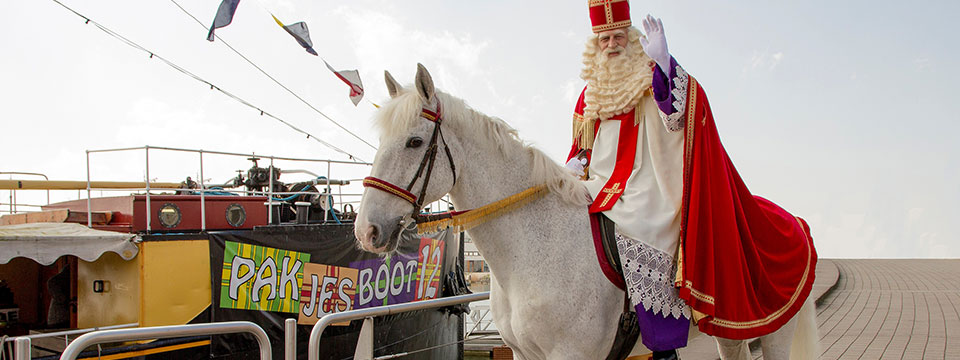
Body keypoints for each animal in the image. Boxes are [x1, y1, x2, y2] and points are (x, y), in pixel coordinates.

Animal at [352, 64, 816, 360]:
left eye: (414, 141)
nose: (365, 230)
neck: (531, 251)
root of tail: (794, 220)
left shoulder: (572, 354)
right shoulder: (524, 355)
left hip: (775, 331)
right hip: (732, 332)